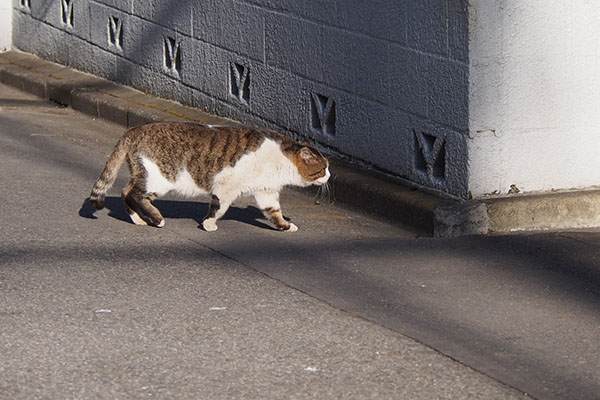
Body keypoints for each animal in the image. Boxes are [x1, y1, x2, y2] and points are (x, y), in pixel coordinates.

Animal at [91, 123, 330, 233]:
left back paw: (138, 219)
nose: (329, 175)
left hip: (143, 174)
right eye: (323, 168)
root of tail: (135, 130)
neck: (280, 159)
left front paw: (285, 226)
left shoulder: (266, 191)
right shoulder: (226, 187)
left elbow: (274, 213)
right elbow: (219, 208)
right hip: (160, 178)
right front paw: (208, 224)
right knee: (135, 195)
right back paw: (157, 219)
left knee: (125, 192)